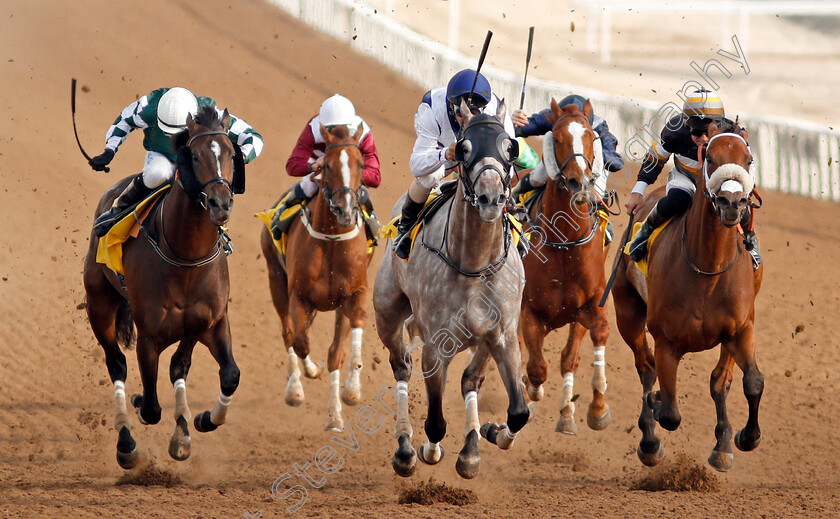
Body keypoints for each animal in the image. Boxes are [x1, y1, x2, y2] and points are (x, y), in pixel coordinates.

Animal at [83, 106, 243, 472]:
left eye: (231, 153)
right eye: (194, 155)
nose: (221, 203)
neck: (185, 256)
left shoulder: (210, 323)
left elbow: (226, 374)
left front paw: (199, 422)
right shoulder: (149, 335)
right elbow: (152, 407)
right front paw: (144, 406)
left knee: (175, 368)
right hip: (99, 303)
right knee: (116, 364)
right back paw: (126, 443)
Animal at [260, 124, 370, 432]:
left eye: (361, 164)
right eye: (328, 165)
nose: (346, 209)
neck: (331, 241)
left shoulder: (354, 295)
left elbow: (340, 351)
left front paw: (346, 398)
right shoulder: (298, 296)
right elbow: (300, 342)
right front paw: (307, 375)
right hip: (276, 280)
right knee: (289, 333)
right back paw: (294, 387)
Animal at [372, 99, 524, 482]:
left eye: (509, 148)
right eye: (465, 148)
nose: (490, 196)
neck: (472, 264)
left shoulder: (503, 334)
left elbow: (519, 410)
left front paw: (492, 432)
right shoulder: (435, 346)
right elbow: (436, 421)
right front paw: (428, 450)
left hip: (483, 342)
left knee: (471, 379)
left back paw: (471, 447)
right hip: (387, 314)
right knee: (401, 366)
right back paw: (405, 448)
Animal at [520, 96, 612, 434]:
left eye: (590, 137)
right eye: (556, 138)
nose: (578, 181)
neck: (564, 241)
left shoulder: (589, 305)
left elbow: (588, 343)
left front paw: (596, 408)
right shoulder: (529, 309)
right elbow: (536, 368)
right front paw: (531, 391)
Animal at [612, 122, 764, 472]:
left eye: (748, 159)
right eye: (709, 157)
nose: (732, 202)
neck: (708, 269)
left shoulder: (741, 328)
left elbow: (752, 382)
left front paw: (745, 437)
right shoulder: (667, 341)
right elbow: (669, 411)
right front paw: (655, 408)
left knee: (719, 380)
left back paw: (723, 445)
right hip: (627, 312)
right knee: (646, 368)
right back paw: (649, 440)